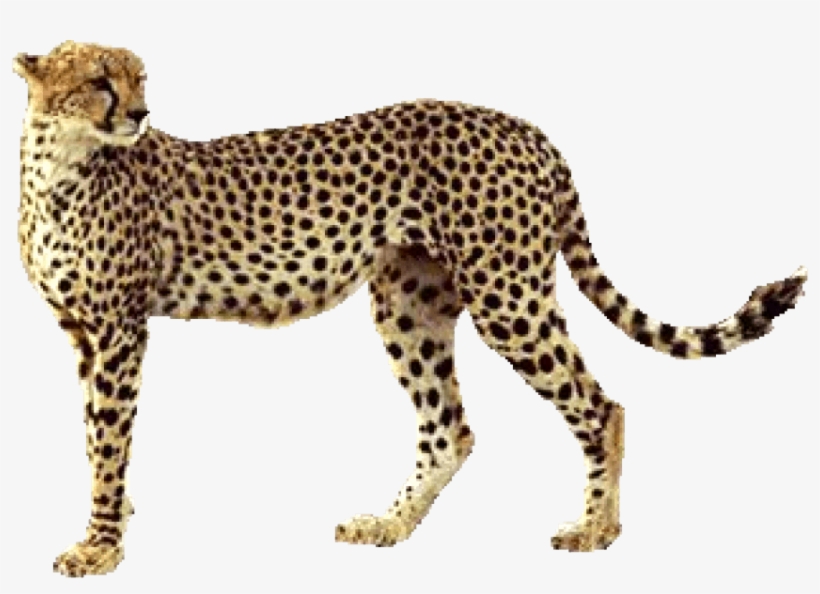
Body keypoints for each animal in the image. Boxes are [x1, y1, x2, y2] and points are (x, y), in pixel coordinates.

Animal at [13, 40, 808, 577]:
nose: (141, 113)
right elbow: (97, 435)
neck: (58, 163)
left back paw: (594, 530)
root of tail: (526, 127)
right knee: (449, 428)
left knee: (597, 403)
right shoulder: (83, 332)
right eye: (99, 82)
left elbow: (109, 436)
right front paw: (113, 518)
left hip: (507, 295)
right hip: (409, 304)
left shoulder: (119, 329)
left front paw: (100, 545)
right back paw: (388, 525)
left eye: (139, 78)